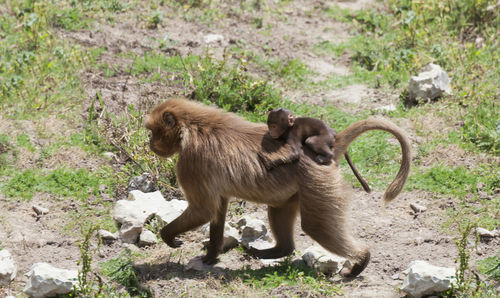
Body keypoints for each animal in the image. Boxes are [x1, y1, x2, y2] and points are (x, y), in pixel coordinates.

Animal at [146, 98, 410, 278]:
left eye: (151, 131)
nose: (149, 144)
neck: (193, 126)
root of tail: (329, 146)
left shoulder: (191, 162)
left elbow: (203, 210)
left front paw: (169, 237)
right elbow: (217, 210)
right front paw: (211, 257)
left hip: (318, 184)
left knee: (315, 226)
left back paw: (361, 260)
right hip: (296, 190)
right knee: (280, 211)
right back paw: (275, 251)